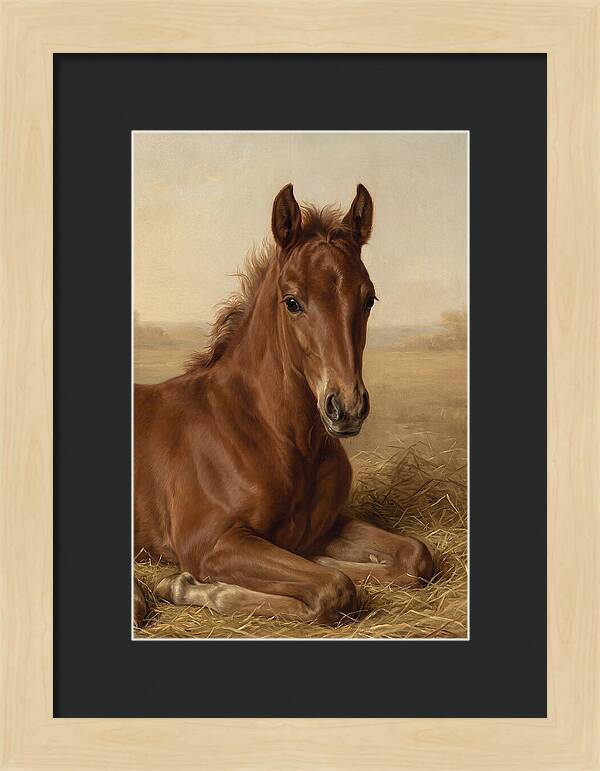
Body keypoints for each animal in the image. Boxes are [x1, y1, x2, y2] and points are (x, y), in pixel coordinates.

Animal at [133, 183, 433, 628]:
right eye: (292, 301)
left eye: (369, 299)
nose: (347, 407)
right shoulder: (209, 543)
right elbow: (334, 588)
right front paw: (185, 585)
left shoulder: (325, 525)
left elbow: (414, 556)